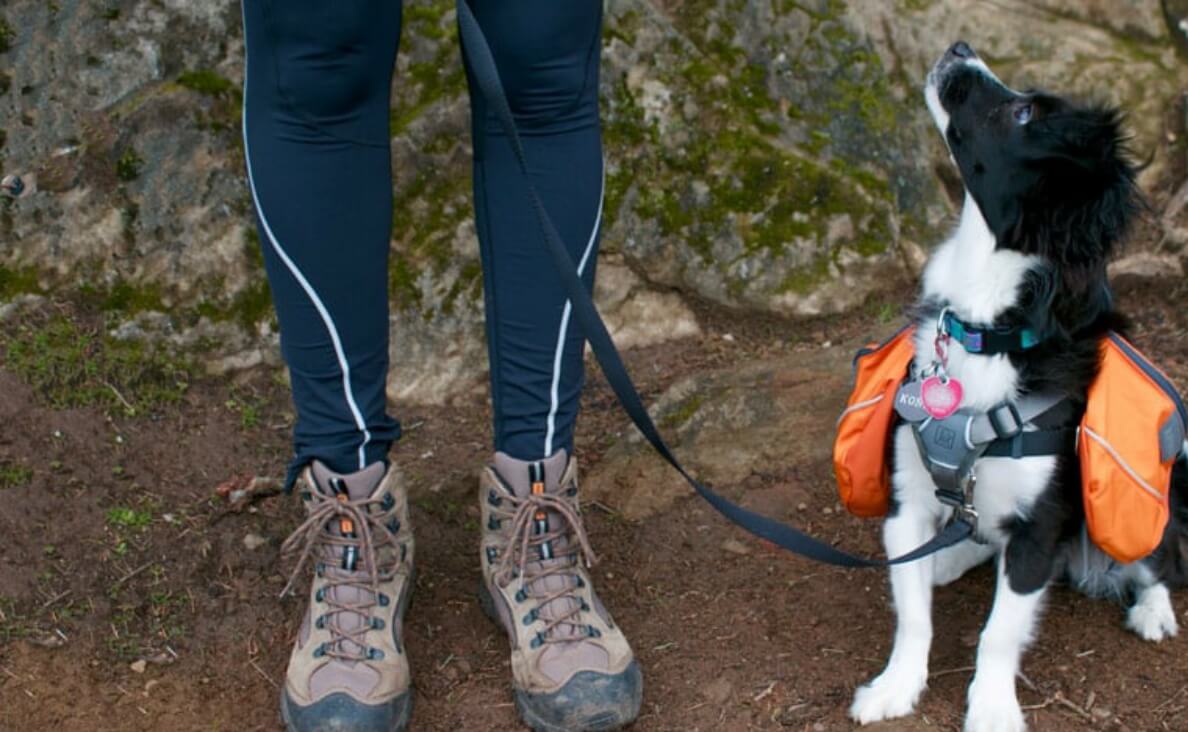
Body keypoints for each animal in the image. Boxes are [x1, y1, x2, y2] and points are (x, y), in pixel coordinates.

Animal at [850, 42, 1188, 732]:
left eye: (1025, 112)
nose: (959, 47)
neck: (987, 325)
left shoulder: (1039, 531)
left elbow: (999, 633)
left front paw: (992, 708)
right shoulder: (907, 503)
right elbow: (912, 615)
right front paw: (896, 686)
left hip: (1149, 514)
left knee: (1164, 559)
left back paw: (1153, 609)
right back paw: (950, 558)